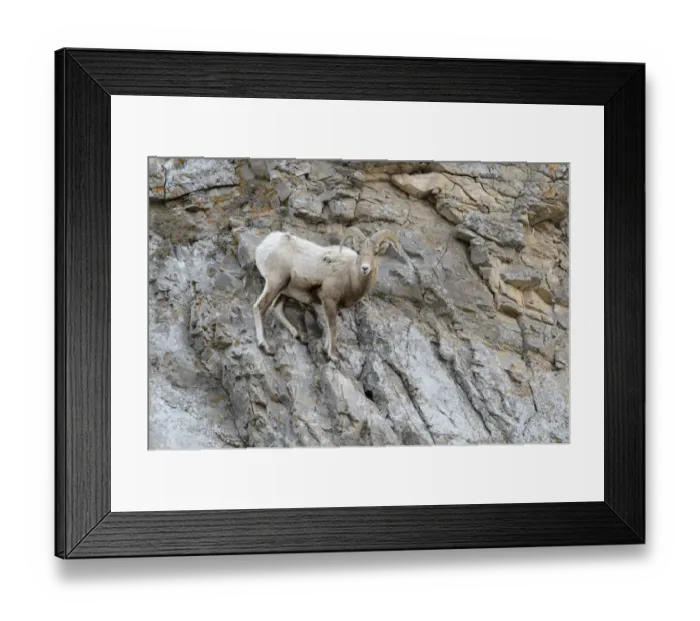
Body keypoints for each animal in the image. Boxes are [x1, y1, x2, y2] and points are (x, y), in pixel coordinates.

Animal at [253, 227, 401, 362]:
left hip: (285, 290)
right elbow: (333, 328)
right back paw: (266, 347)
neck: (350, 275)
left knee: (277, 308)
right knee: (260, 307)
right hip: (275, 284)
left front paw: (326, 350)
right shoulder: (329, 300)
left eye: (375, 252)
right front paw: (333, 356)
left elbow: (328, 328)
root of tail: (265, 245)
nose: (365, 268)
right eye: (359, 251)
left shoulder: (330, 305)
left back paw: (298, 334)